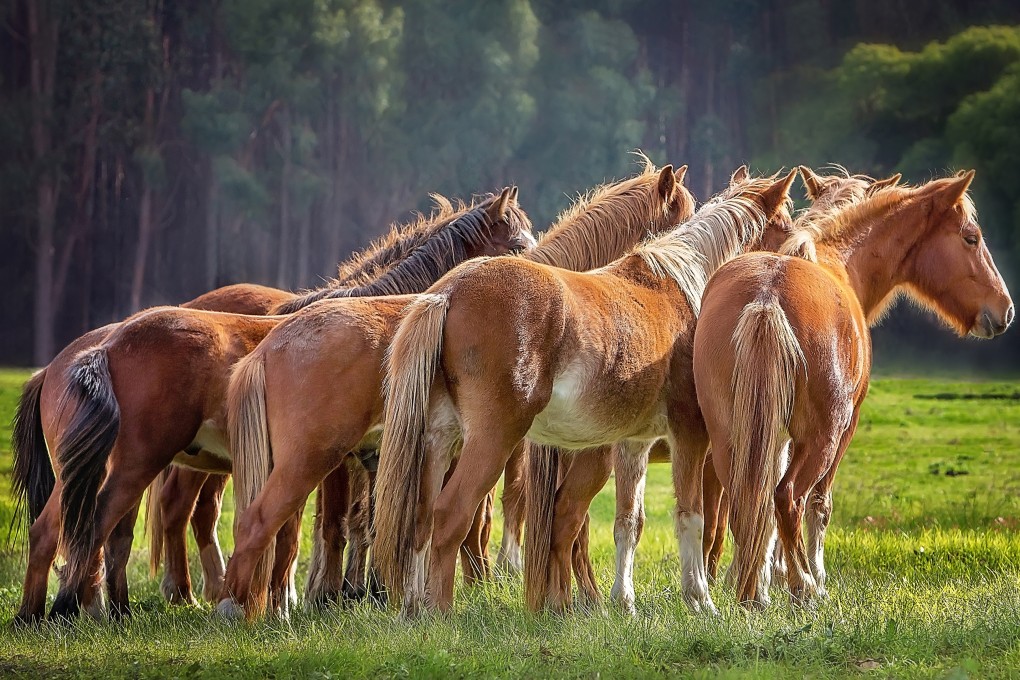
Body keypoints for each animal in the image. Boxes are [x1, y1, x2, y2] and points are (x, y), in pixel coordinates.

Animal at [10, 192, 515, 623]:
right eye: (516, 243)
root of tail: (97, 350)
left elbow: (335, 526)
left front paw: (313, 598)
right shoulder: (338, 462)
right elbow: (333, 526)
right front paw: (321, 597)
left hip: (104, 469)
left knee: (70, 530)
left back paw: (63, 612)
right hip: (139, 462)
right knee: (104, 526)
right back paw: (90, 606)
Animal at [372, 167, 797, 618]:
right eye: (785, 225)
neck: (687, 285)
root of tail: (450, 291)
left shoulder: (633, 442)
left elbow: (630, 521)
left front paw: (624, 602)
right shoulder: (690, 435)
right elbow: (691, 517)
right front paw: (700, 600)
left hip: (439, 439)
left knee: (420, 519)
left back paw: (416, 608)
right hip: (492, 440)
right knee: (452, 515)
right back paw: (442, 612)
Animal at [694, 170, 1013, 608]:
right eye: (971, 237)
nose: (1005, 310)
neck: (839, 260)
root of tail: (767, 297)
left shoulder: (773, 434)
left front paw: (762, 576)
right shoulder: (846, 427)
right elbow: (819, 505)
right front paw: (808, 575)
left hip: (730, 436)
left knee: (746, 499)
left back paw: (751, 593)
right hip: (822, 437)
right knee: (788, 497)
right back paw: (805, 587)